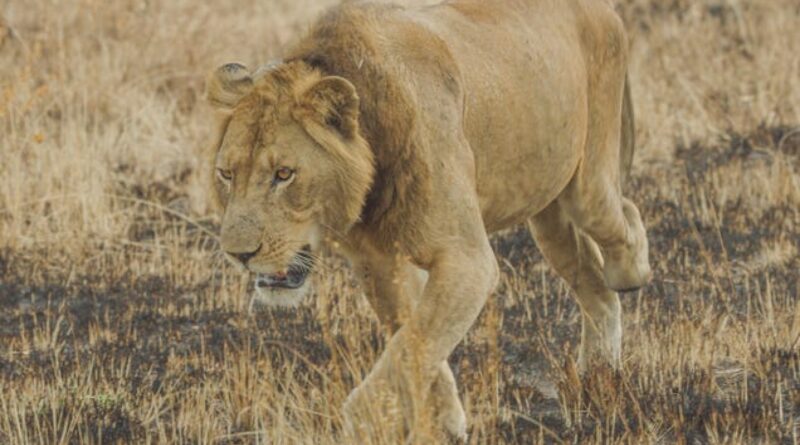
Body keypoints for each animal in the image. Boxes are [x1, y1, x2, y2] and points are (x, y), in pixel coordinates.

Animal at [203, 0, 648, 438]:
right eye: (226, 175)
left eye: (284, 174)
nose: (239, 254)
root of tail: (604, 9)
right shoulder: (381, 264)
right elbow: (415, 341)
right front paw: (446, 422)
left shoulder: (467, 259)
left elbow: (412, 345)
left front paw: (365, 421)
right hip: (547, 212)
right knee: (595, 289)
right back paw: (599, 378)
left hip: (587, 187)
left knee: (622, 218)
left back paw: (632, 276)